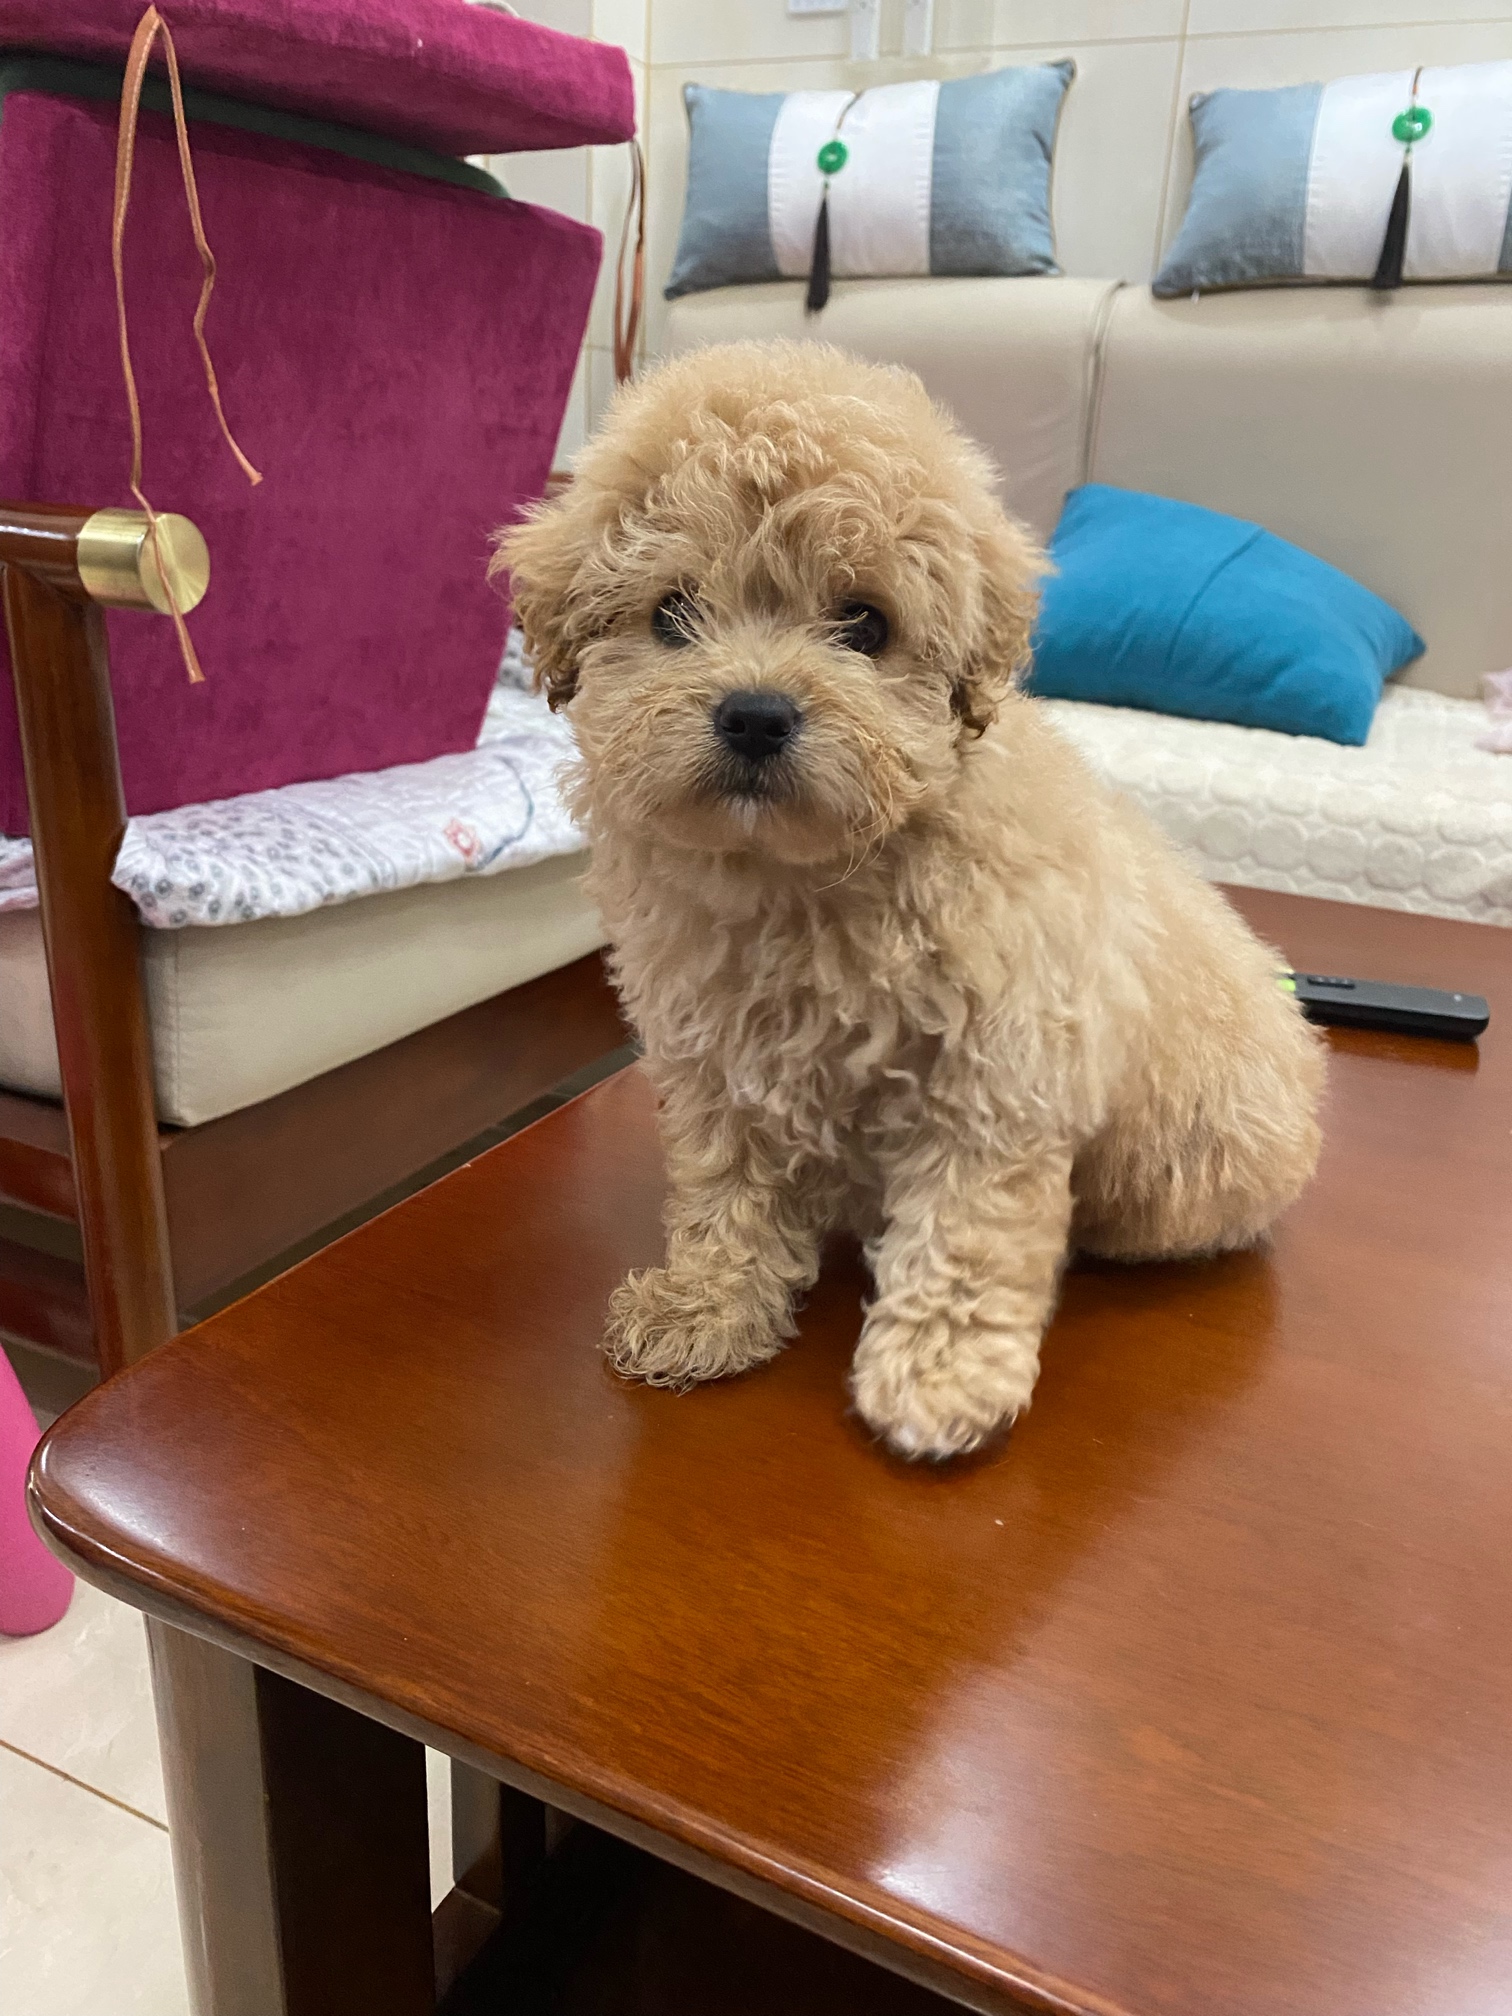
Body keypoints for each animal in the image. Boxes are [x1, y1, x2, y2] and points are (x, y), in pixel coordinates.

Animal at [496, 341, 1324, 1461]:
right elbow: (725, 1185)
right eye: (671, 612)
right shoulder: (716, 1056)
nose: (755, 713)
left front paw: (937, 1381)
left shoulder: (999, 1076)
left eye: (865, 623)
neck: (801, 877)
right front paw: (706, 1306)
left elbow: (966, 1231)